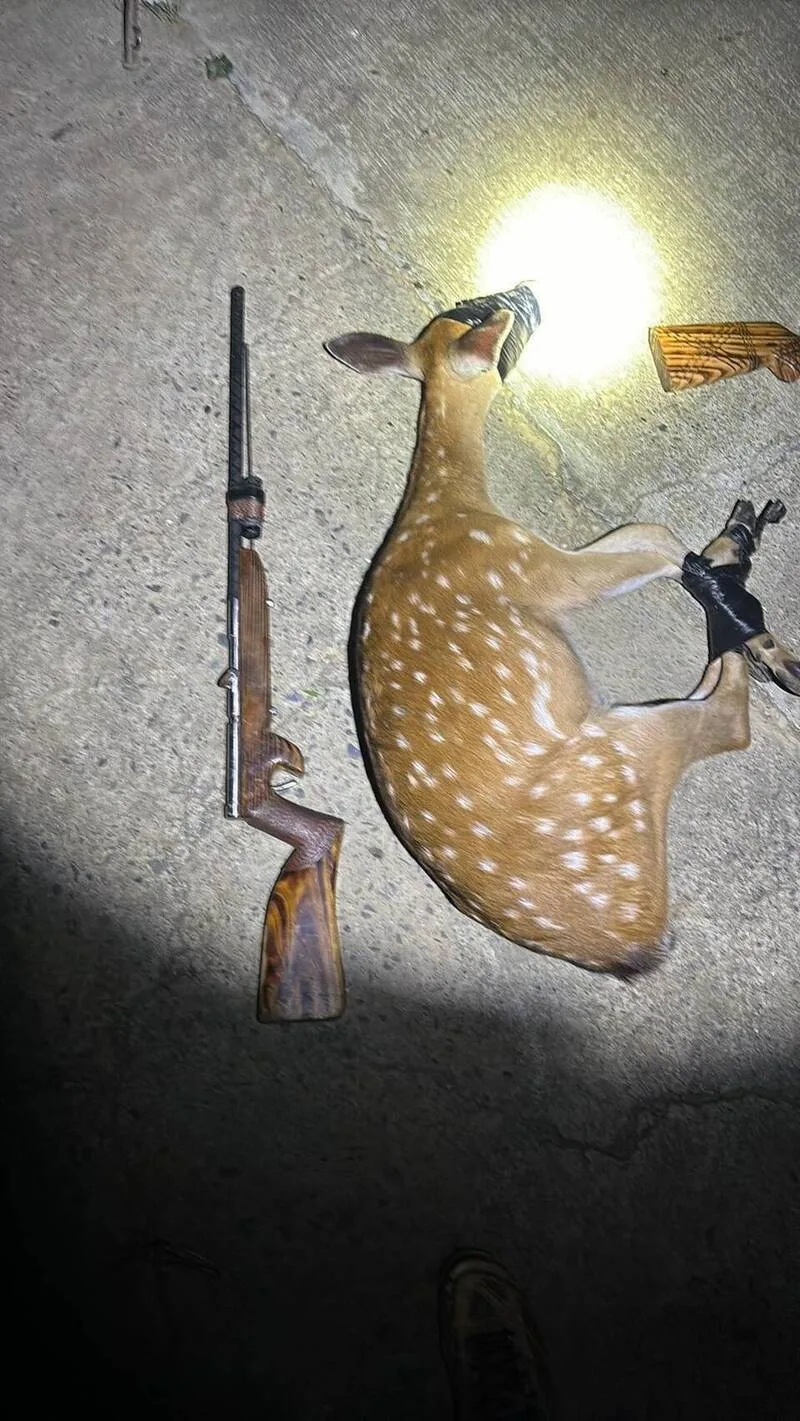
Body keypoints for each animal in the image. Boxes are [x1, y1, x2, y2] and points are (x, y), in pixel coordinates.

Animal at [324, 285, 800, 976]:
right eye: (481, 314)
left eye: (459, 310)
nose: (526, 290)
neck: (447, 505)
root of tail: (633, 945)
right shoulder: (529, 567)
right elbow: (658, 545)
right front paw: (732, 578)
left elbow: (642, 530)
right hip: (619, 753)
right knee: (727, 722)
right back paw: (752, 627)